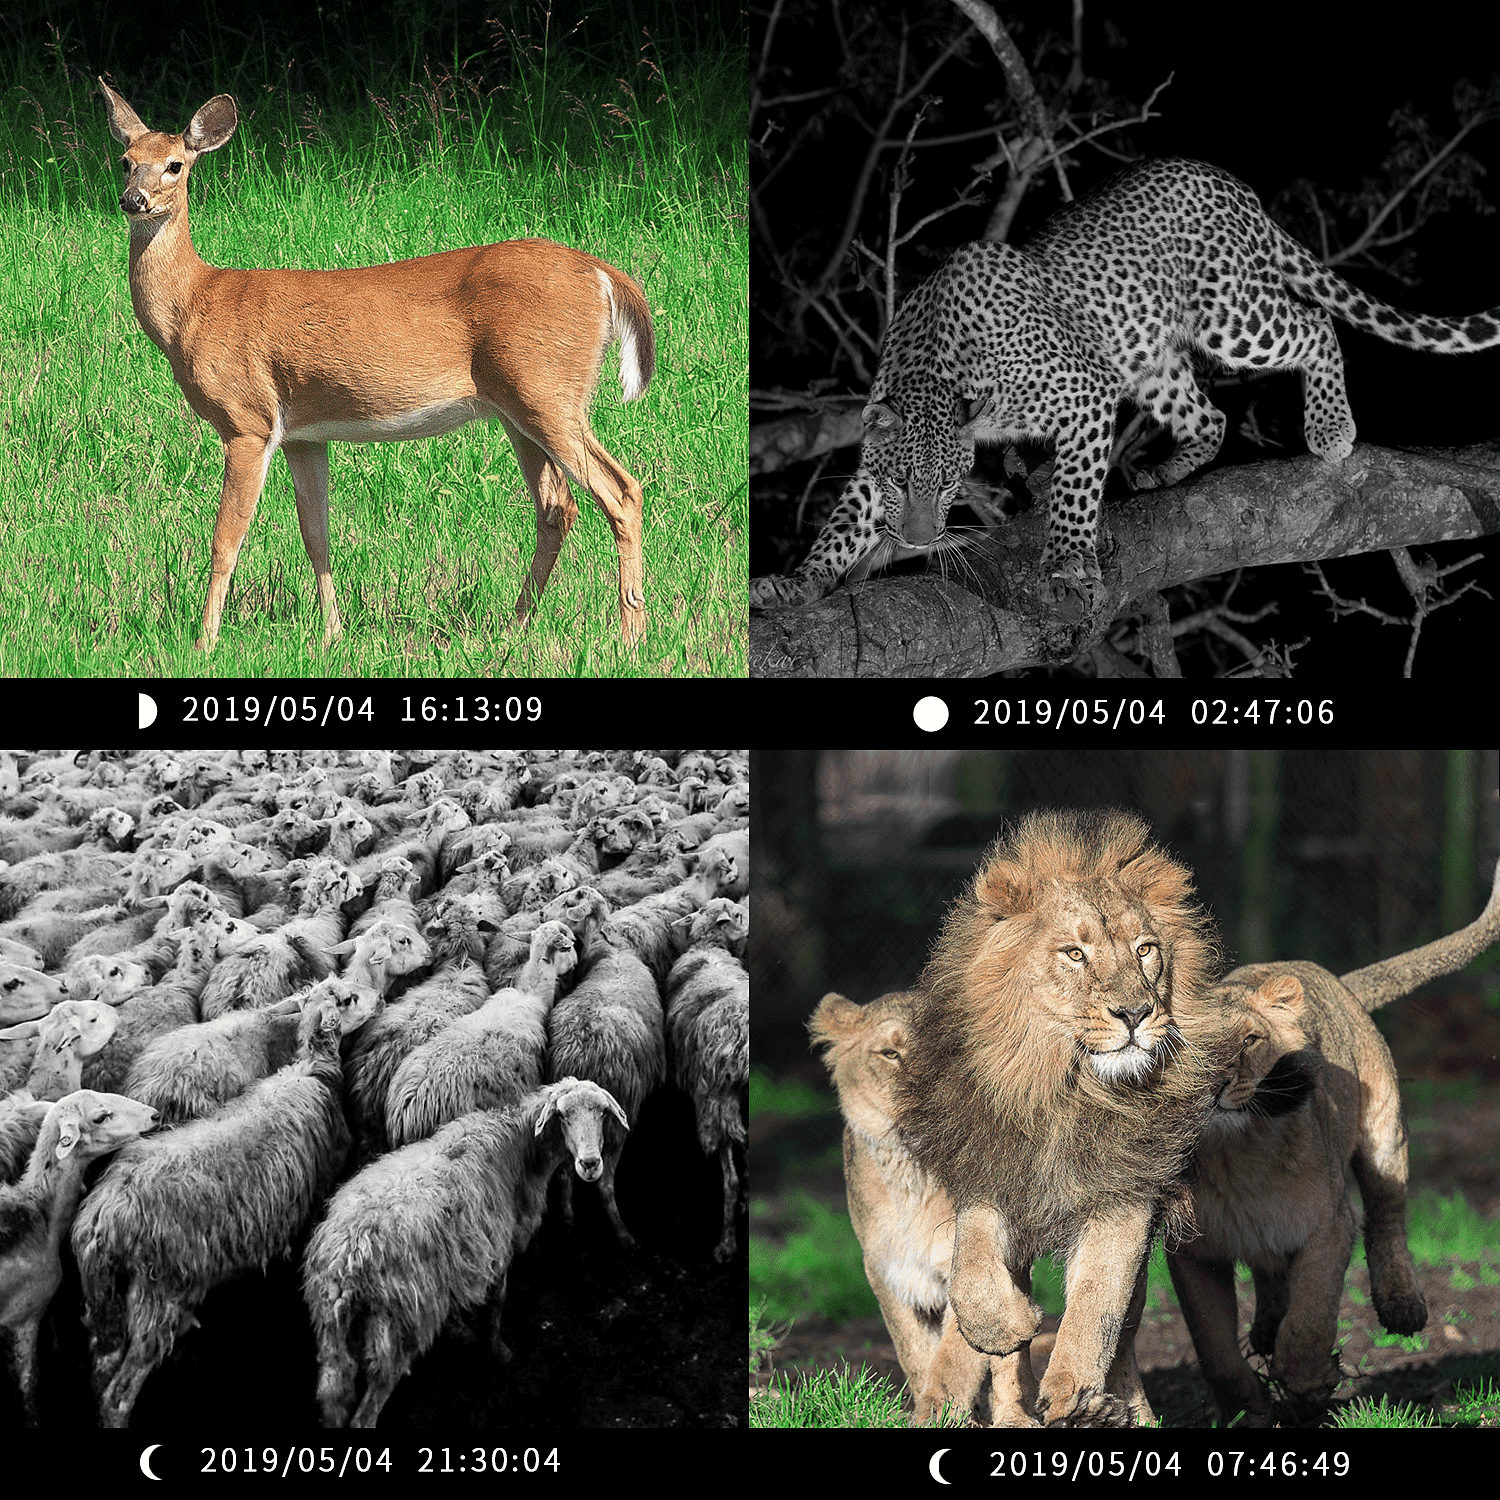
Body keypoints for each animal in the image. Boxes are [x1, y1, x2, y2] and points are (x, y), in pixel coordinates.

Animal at [98, 80, 656, 653]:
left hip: (547, 389)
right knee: (556, 507)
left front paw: (204, 641)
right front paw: (332, 633)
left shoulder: (247, 419)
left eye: (175, 165)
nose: (133, 200)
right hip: (517, 407)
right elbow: (315, 534)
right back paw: (512, 627)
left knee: (622, 491)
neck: (195, 306)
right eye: (125, 161)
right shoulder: (303, 433)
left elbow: (226, 539)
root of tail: (603, 274)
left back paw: (630, 634)